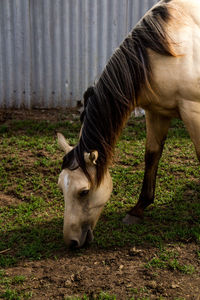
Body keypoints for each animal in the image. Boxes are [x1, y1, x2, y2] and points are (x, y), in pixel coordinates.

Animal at [56, 0, 200, 248]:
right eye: (61, 187)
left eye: (83, 192)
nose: (71, 241)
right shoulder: (157, 112)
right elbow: (152, 156)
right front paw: (138, 209)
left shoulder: (192, 110)